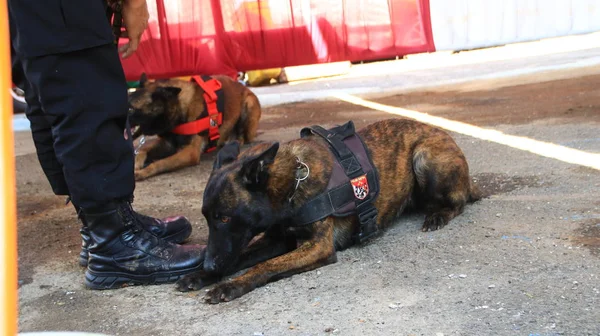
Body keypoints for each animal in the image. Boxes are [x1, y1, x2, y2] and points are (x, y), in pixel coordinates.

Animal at [127, 73, 262, 181]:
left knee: (242, 137)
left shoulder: (190, 153)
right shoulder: (168, 144)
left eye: (130, 109)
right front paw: (136, 163)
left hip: (248, 105)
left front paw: (143, 172)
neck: (180, 108)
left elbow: (161, 163)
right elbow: (143, 150)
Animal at [176, 117, 480, 302]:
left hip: (424, 157)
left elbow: (265, 265)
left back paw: (438, 215)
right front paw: (202, 275)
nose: (209, 264)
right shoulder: (277, 239)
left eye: (225, 218)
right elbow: (241, 256)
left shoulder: (318, 247)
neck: (291, 183)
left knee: (459, 201)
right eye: (207, 218)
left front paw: (228, 285)